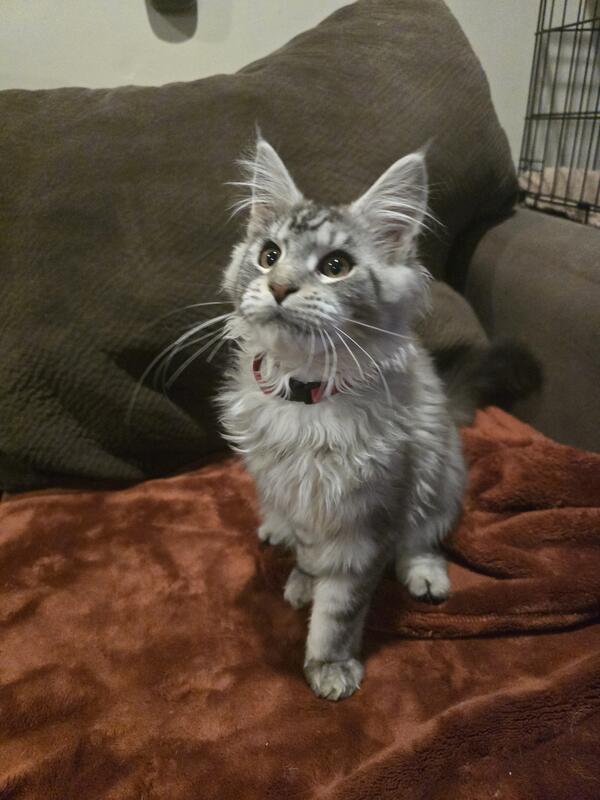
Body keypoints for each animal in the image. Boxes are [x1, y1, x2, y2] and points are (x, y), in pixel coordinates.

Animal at [217, 136, 482, 700]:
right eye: (268, 256)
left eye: (335, 265)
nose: (278, 287)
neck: (306, 398)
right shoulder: (296, 490)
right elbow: (309, 553)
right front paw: (303, 578)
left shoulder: (373, 512)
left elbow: (341, 606)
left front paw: (330, 664)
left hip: (438, 471)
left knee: (423, 535)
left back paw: (425, 574)